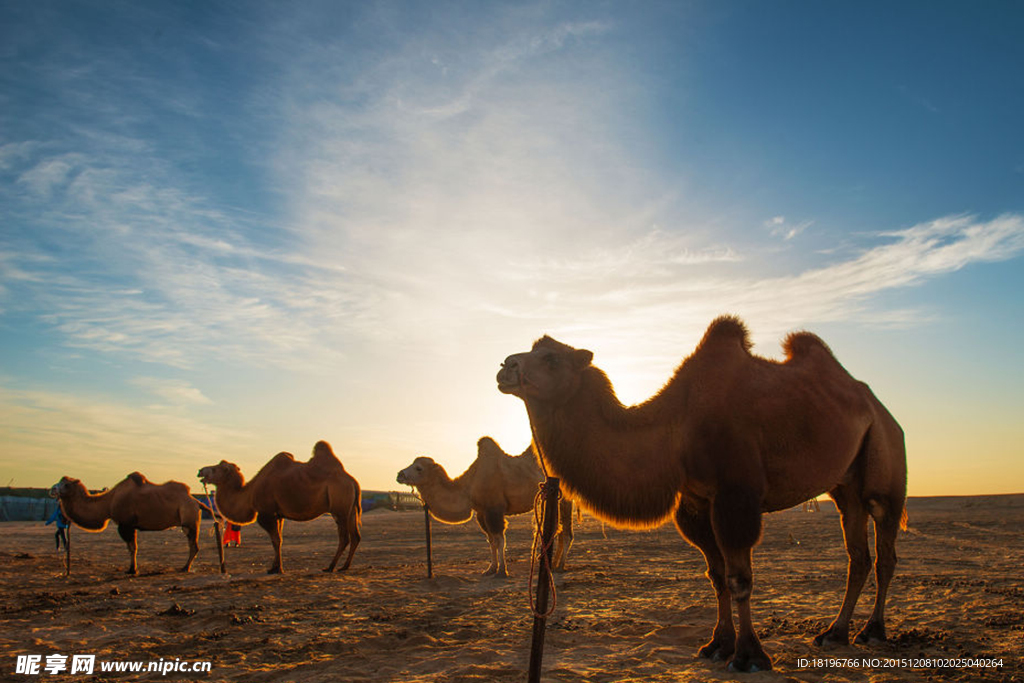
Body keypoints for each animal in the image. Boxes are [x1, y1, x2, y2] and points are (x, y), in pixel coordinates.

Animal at [51, 475, 207, 577]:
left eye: (66, 485)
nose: (52, 489)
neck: (109, 502)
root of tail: (196, 501)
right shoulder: (130, 526)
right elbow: (132, 547)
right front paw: (132, 569)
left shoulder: (125, 525)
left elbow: (132, 548)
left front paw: (132, 570)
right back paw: (185, 566)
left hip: (189, 519)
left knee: (194, 545)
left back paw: (185, 567)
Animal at [197, 440, 362, 573]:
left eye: (216, 468)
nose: (200, 470)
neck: (250, 493)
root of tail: (352, 481)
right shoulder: (278, 515)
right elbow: (279, 539)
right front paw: (274, 567)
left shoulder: (266, 513)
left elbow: (276, 540)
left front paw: (278, 569)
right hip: (350, 510)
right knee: (356, 536)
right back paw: (344, 566)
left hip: (339, 508)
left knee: (344, 538)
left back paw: (330, 567)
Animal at [395, 438, 573, 577]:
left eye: (419, 468)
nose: (399, 475)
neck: (469, 485)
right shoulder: (482, 512)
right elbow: (491, 540)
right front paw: (491, 569)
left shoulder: (494, 509)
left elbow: (500, 540)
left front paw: (502, 571)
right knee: (562, 531)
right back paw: (555, 565)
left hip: (564, 498)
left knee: (566, 533)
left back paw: (559, 566)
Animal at [499, 317, 909, 671]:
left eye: (551, 358)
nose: (505, 366)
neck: (677, 425)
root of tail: (879, 407)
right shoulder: (697, 503)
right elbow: (717, 575)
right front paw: (717, 645)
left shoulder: (735, 497)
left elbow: (739, 578)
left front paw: (748, 656)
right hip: (845, 487)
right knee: (858, 554)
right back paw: (835, 634)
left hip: (885, 459)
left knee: (885, 546)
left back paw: (873, 631)